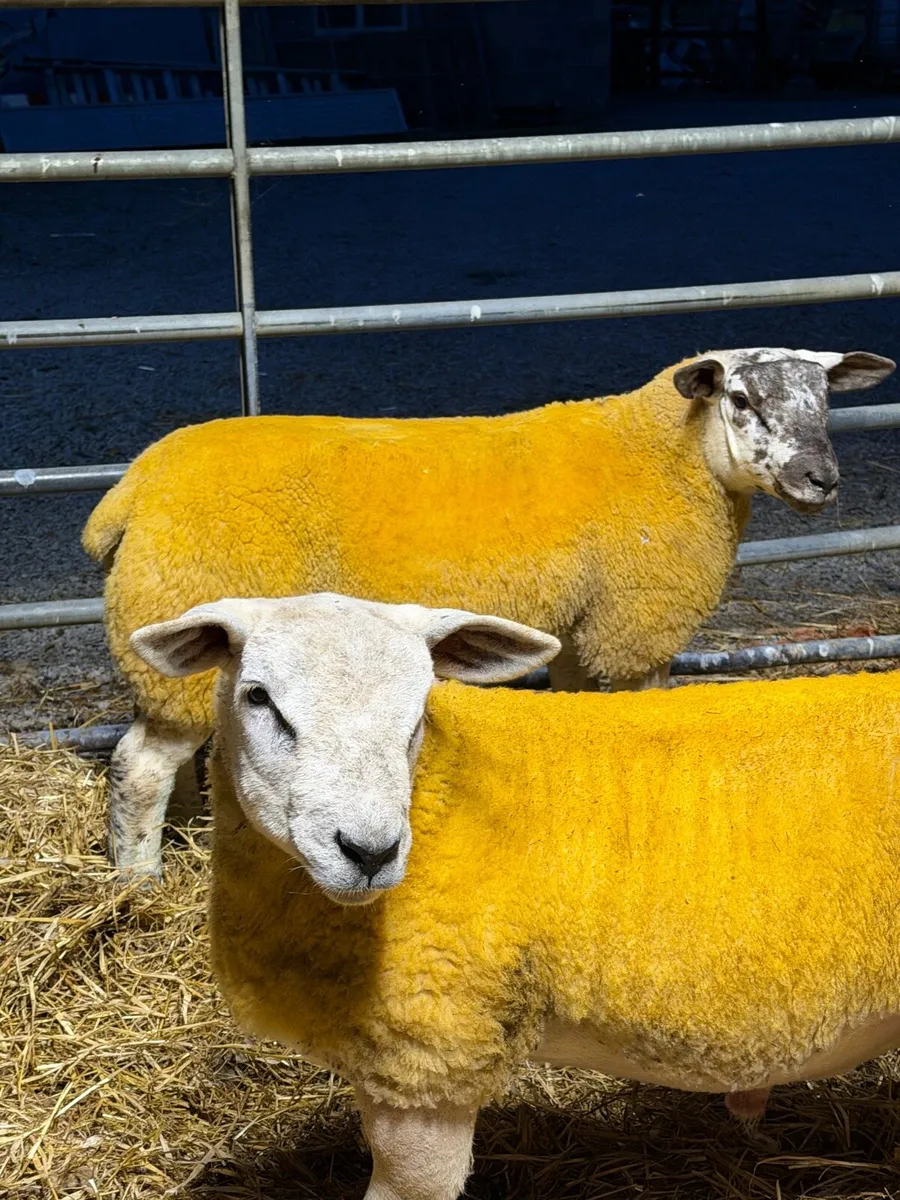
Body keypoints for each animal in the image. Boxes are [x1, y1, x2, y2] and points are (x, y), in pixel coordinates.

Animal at [84, 346, 895, 880]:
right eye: (743, 401)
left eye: (825, 400)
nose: (821, 478)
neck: (670, 455)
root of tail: (134, 489)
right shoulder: (636, 626)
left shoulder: (577, 630)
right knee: (139, 766)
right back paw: (138, 880)